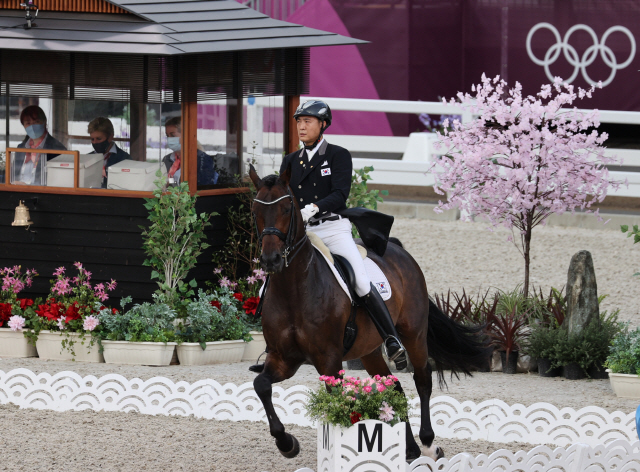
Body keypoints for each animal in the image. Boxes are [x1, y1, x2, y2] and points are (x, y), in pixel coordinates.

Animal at [248, 165, 488, 460]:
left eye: (286, 208)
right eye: (255, 211)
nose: (271, 260)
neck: (294, 288)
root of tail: (398, 250)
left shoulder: (329, 361)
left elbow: (337, 400)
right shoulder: (283, 358)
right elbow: (261, 385)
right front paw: (287, 443)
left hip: (413, 333)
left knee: (422, 379)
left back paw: (429, 444)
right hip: (370, 349)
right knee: (394, 387)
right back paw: (409, 449)